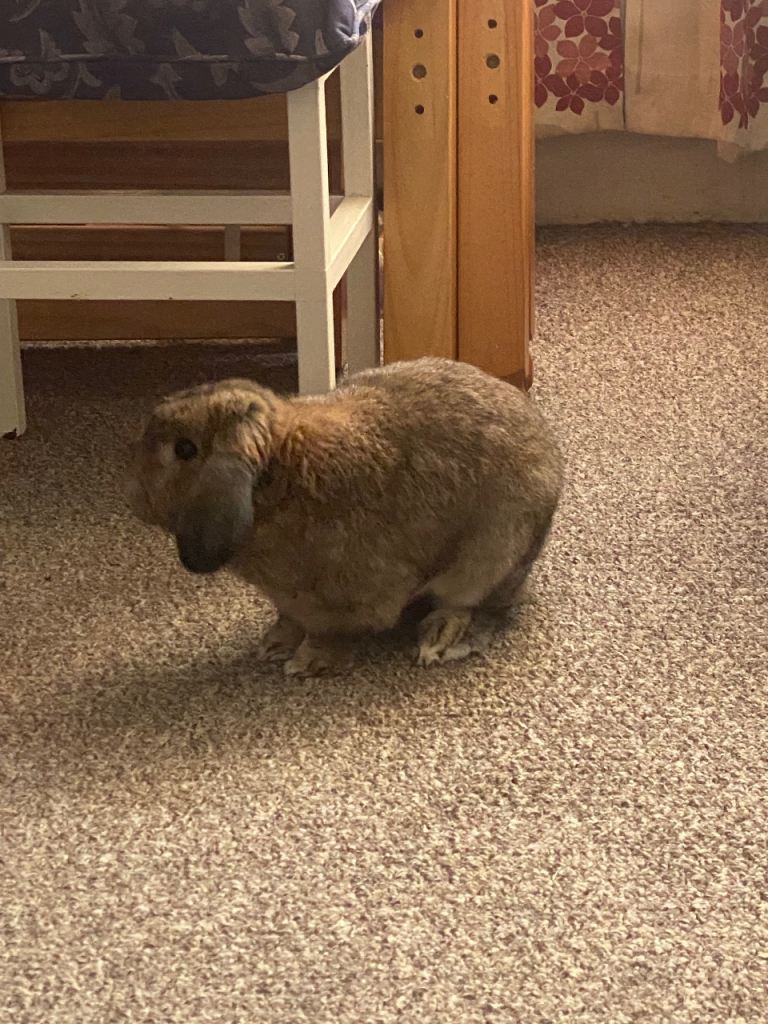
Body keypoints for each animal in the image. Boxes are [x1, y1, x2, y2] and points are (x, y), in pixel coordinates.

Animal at [126, 357, 563, 677]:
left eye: (184, 449)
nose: (134, 499)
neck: (279, 477)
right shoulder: (291, 601)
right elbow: (288, 620)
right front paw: (272, 645)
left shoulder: (342, 603)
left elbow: (331, 634)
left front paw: (305, 664)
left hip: (488, 558)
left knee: (474, 603)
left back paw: (438, 638)